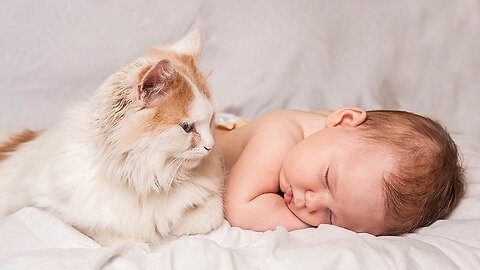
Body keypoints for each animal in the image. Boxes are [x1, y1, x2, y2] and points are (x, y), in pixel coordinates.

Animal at [0, 30, 223, 249]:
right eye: (186, 127)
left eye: (211, 119)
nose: (211, 146)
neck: (147, 177)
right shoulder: (45, 205)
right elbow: (112, 236)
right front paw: (138, 243)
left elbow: (212, 212)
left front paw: (178, 225)